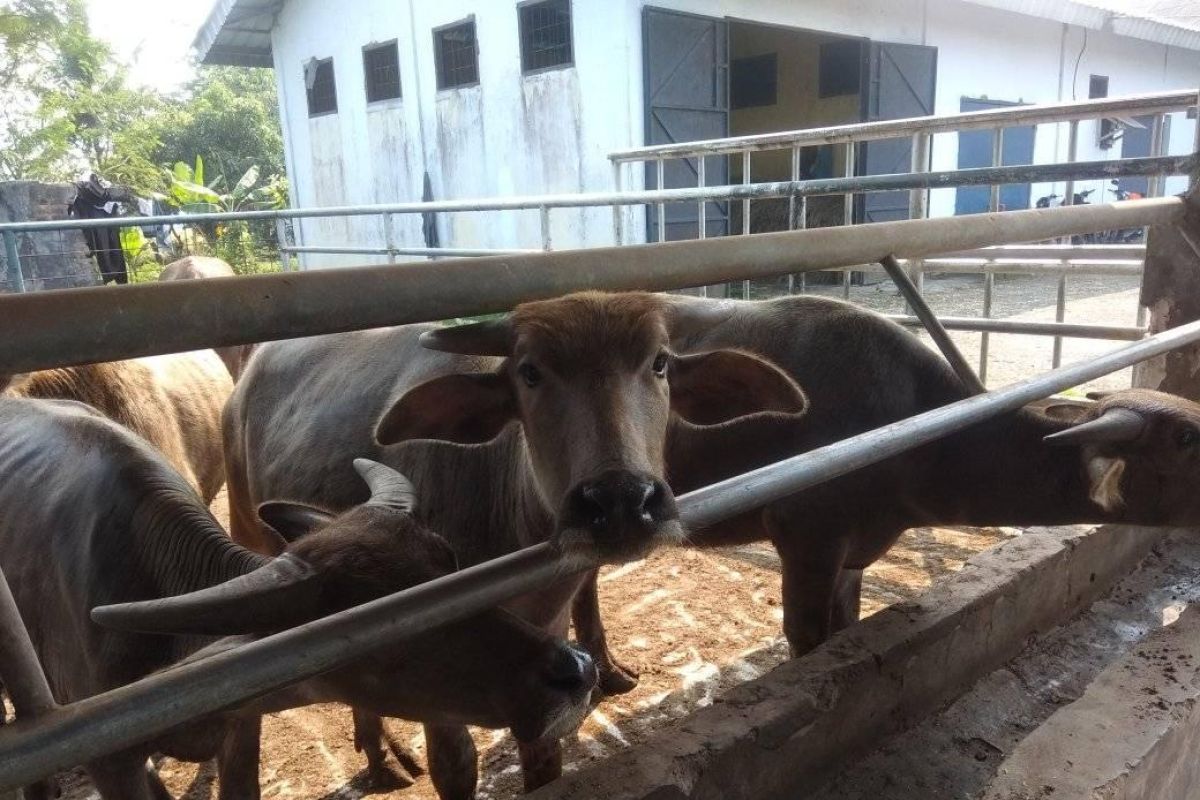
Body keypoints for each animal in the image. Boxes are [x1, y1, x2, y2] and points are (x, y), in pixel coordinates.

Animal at [225, 291, 806, 796]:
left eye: (659, 363)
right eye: (530, 372)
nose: (621, 501)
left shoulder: (552, 654)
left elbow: (546, 755)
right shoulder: (437, 680)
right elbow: (456, 767)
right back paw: (383, 757)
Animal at [568, 293, 1200, 671]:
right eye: (1187, 439)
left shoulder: (853, 553)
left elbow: (846, 624)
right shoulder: (807, 538)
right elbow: (808, 637)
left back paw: (609, 673)